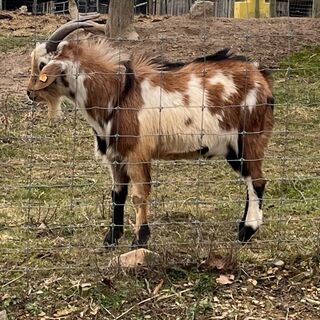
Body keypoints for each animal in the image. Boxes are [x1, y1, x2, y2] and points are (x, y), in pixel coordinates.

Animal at [26, 21, 276, 249]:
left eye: (42, 65)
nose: (29, 93)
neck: (118, 93)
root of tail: (261, 78)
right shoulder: (116, 157)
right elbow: (117, 194)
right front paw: (111, 239)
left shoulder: (137, 153)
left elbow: (139, 195)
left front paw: (140, 239)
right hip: (233, 149)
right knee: (250, 180)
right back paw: (242, 226)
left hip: (249, 138)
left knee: (257, 181)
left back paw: (247, 232)